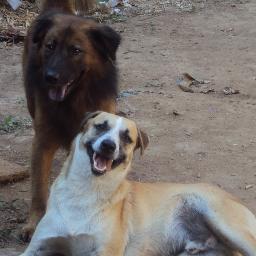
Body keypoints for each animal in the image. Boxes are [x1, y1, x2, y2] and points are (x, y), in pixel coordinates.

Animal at [22, 0, 121, 240]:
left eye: (76, 51)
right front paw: (34, 224)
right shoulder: (42, 141)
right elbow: (38, 189)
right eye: (50, 46)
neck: (73, 100)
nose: (50, 77)